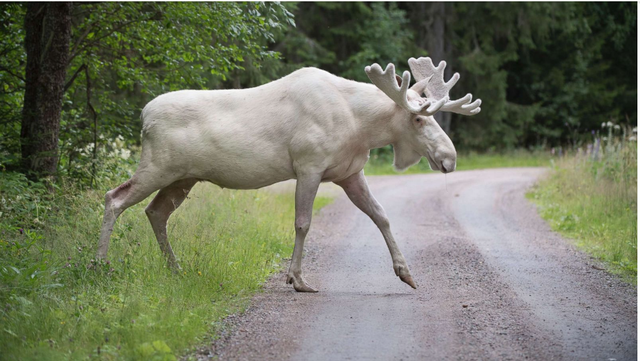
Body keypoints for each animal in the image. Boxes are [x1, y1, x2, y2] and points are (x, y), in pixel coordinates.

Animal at [96, 57, 480, 292]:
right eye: (417, 118)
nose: (449, 158)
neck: (361, 127)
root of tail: (143, 116)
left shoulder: (350, 172)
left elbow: (382, 216)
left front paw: (406, 273)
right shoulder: (308, 165)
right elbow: (303, 223)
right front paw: (297, 279)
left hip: (183, 177)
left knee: (155, 211)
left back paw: (175, 269)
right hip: (158, 166)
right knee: (114, 198)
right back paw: (99, 265)